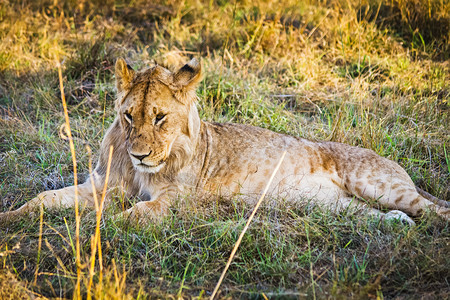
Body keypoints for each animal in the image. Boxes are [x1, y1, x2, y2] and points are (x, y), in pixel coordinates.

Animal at [0, 57, 448, 225]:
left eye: (160, 117)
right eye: (128, 116)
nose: (139, 154)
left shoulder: (179, 198)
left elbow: (135, 214)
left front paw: (101, 226)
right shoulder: (101, 184)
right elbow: (44, 199)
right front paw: (10, 218)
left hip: (378, 184)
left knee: (434, 208)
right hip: (335, 206)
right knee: (379, 214)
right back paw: (396, 224)